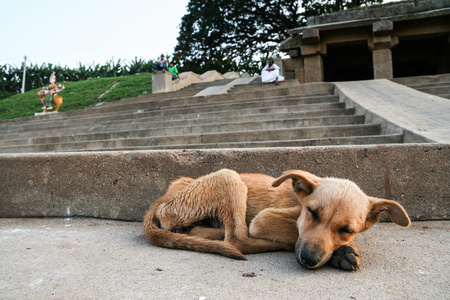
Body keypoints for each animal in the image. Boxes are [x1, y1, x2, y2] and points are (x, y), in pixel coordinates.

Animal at [142, 170, 410, 270]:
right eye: (312, 213)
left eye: (347, 229)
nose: (309, 259)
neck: (298, 201)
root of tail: (165, 195)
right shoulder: (263, 219)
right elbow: (293, 233)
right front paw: (340, 252)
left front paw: (342, 250)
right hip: (229, 176)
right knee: (238, 239)